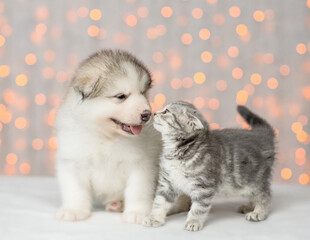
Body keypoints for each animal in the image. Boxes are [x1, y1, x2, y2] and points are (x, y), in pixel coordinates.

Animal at [55, 49, 161, 224]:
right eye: (121, 96)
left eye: (143, 93)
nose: (147, 114)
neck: (105, 135)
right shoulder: (72, 162)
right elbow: (75, 191)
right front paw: (74, 210)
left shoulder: (140, 165)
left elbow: (137, 191)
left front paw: (137, 213)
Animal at [143, 101, 276, 231]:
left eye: (166, 111)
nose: (154, 113)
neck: (177, 151)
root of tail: (263, 134)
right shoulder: (167, 183)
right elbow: (159, 202)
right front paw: (154, 219)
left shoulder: (204, 186)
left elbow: (198, 208)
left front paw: (193, 222)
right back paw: (249, 206)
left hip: (254, 180)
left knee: (264, 195)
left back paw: (258, 212)